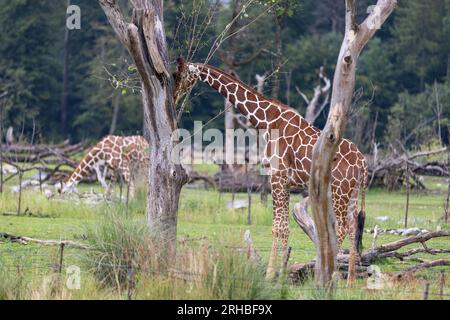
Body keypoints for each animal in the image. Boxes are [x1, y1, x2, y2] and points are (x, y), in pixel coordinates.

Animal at [174, 58, 368, 282]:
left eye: (180, 74)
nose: (175, 95)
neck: (266, 120)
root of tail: (363, 163)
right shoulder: (285, 182)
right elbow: (284, 227)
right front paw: (282, 272)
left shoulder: (277, 177)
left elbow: (277, 227)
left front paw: (269, 275)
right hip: (352, 192)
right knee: (353, 228)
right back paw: (350, 281)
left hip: (340, 190)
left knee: (342, 227)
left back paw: (331, 276)